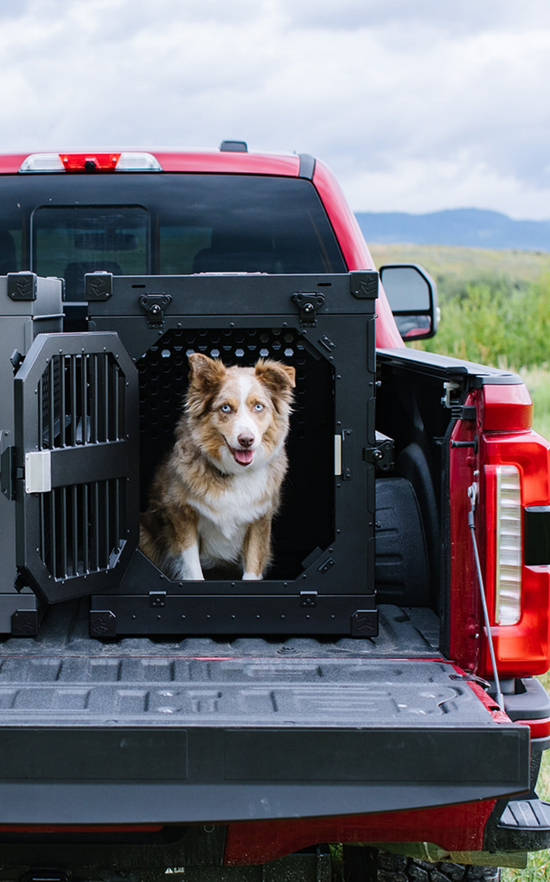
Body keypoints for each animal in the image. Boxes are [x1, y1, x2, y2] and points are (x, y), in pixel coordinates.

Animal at [141, 354, 298, 580]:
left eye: (258, 406)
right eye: (225, 408)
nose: (246, 440)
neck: (235, 472)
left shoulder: (261, 518)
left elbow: (253, 566)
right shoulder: (180, 513)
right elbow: (192, 568)